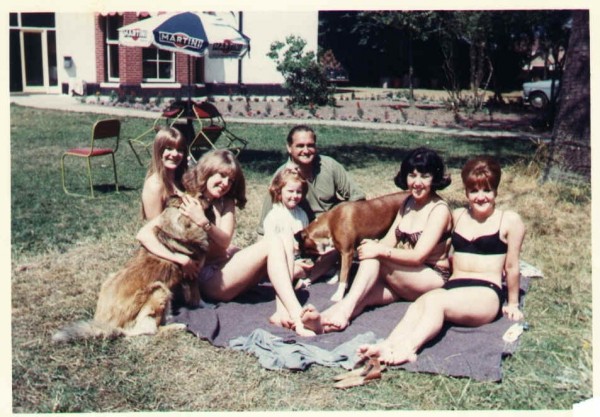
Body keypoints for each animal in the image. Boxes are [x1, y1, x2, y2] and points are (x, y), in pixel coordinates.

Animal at [52, 197, 211, 342]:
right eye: (195, 201)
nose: (208, 199)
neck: (173, 231)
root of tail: (110, 325)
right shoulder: (192, 274)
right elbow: (198, 296)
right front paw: (204, 305)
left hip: (112, 278)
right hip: (159, 289)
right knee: (151, 329)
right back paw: (177, 325)